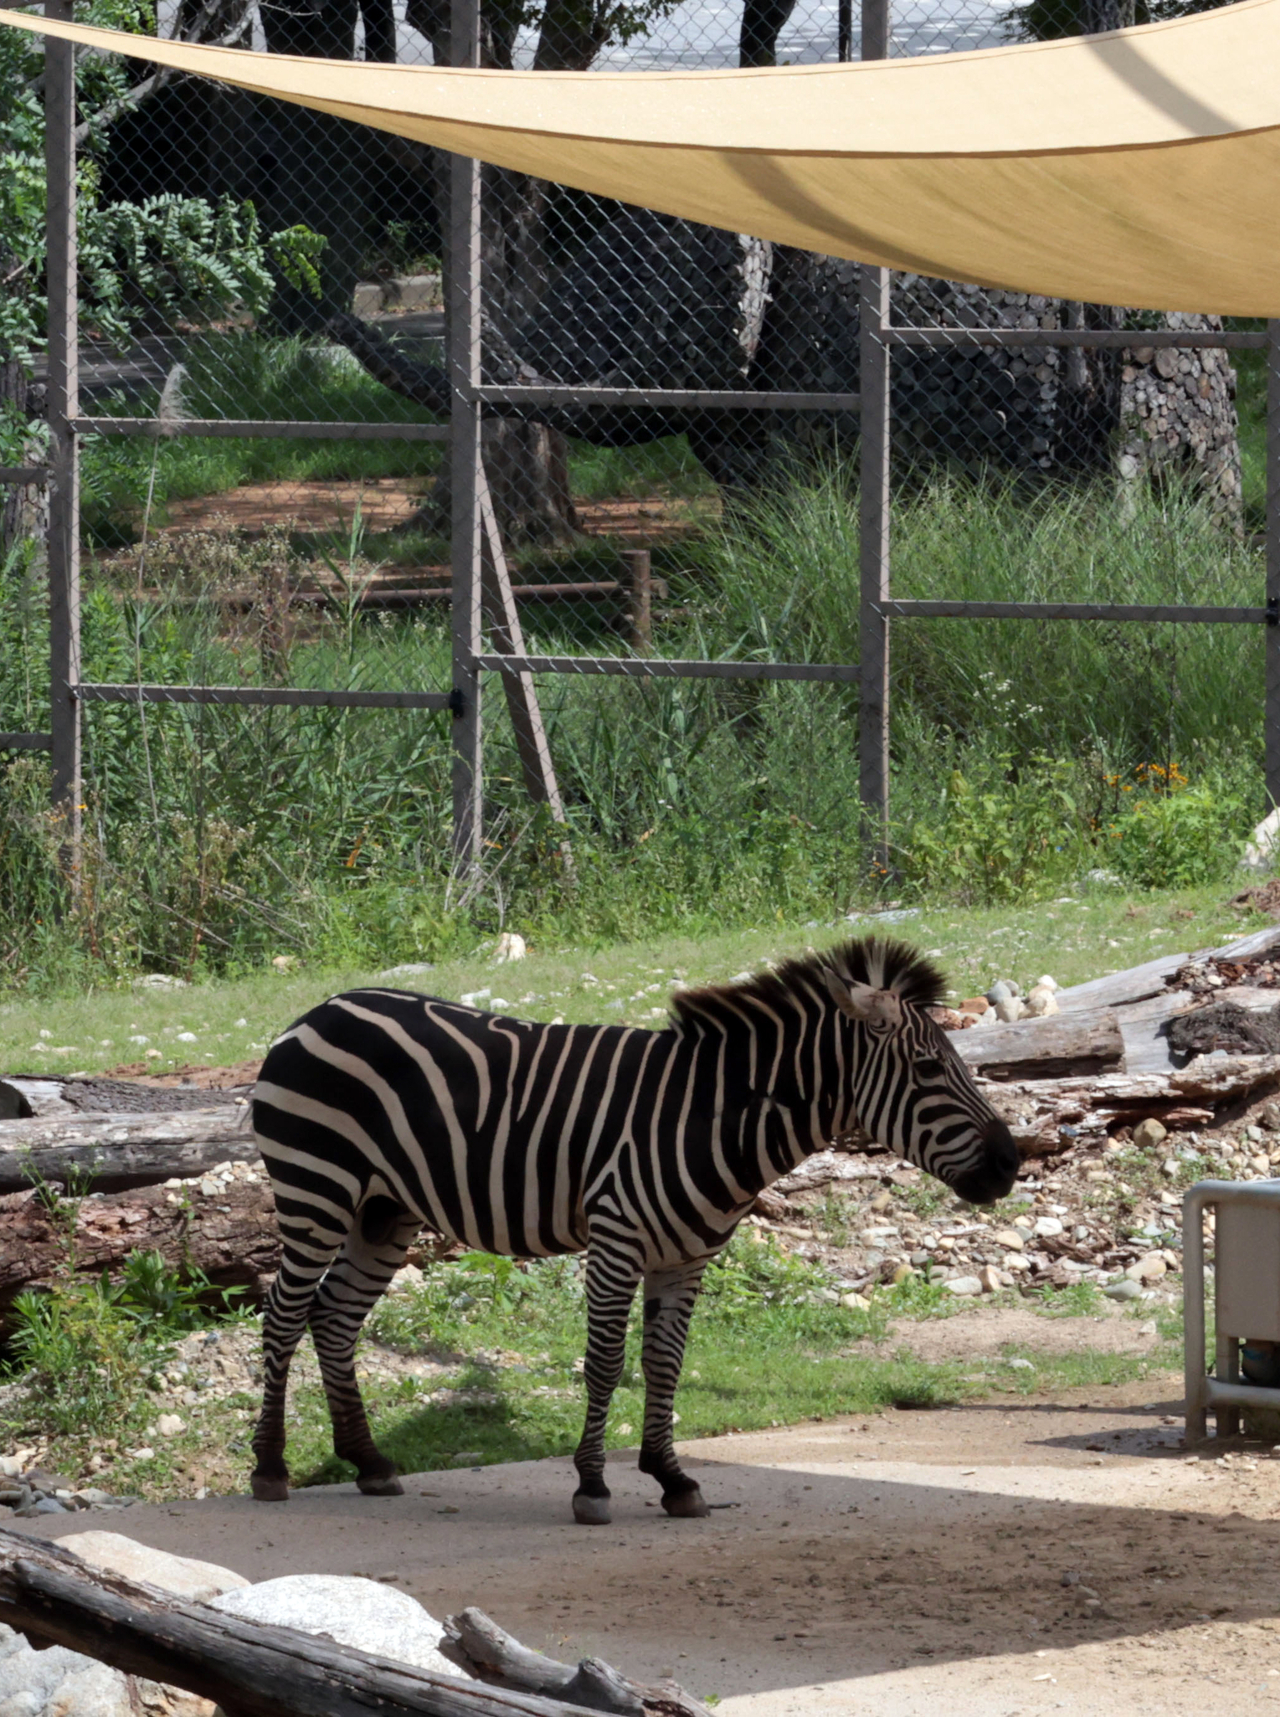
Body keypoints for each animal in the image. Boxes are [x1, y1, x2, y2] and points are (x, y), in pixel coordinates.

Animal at [249, 935, 1018, 1523]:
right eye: (929, 1068)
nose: (1011, 1164)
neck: (710, 1116)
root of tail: (318, 1009)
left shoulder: (687, 1254)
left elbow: (665, 1362)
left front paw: (672, 1477)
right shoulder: (616, 1238)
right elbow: (607, 1361)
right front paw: (592, 1485)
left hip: (383, 1209)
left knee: (334, 1316)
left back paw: (369, 1461)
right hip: (317, 1188)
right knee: (284, 1314)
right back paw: (270, 1467)